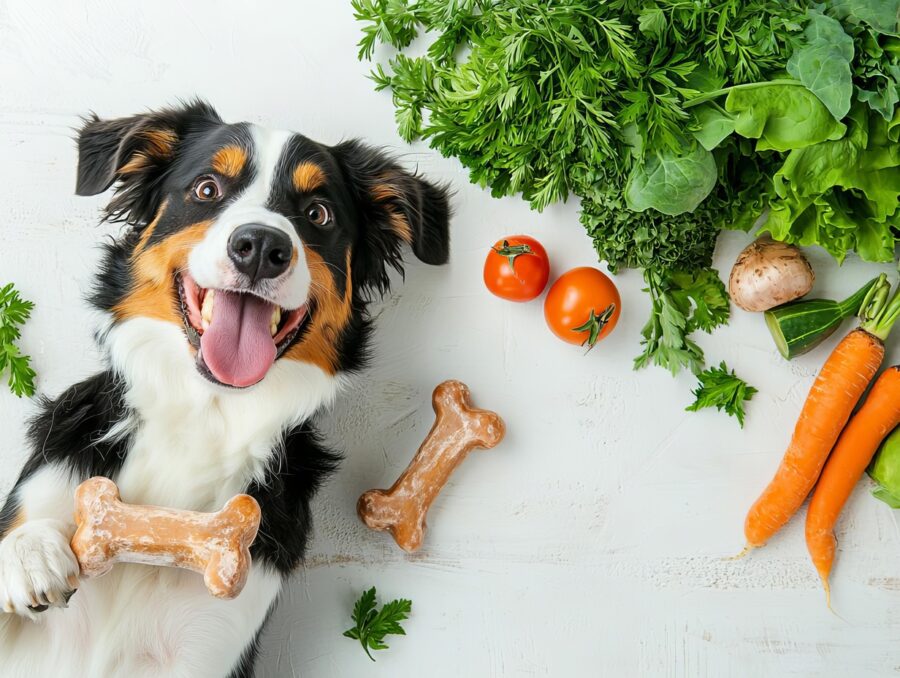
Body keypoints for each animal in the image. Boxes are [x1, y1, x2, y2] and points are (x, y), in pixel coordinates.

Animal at [0, 101, 450, 678]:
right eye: (207, 188)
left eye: (318, 214)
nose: (261, 246)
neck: (203, 413)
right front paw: (30, 552)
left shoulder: (213, 638)